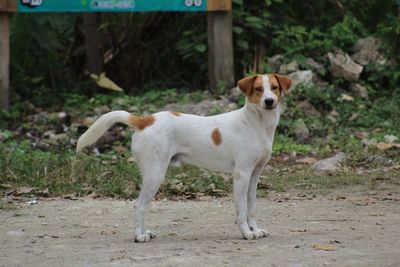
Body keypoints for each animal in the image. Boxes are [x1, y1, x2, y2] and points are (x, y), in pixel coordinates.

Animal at [76, 73, 292, 243]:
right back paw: (139, 236)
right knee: (139, 205)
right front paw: (246, 233)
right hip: (155, 174)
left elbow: (251, 207)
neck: (257, 124)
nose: (269, 101)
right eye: (258, 89)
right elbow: (242, 209)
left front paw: (255, 229)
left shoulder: (254, 176)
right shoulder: (241, 175)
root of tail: (145, 120)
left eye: (274, 88)